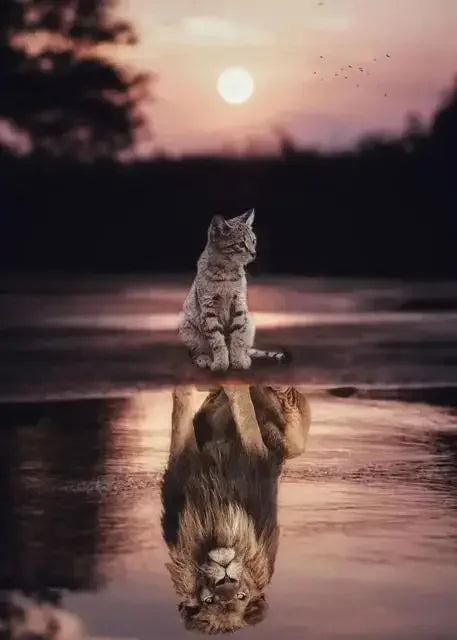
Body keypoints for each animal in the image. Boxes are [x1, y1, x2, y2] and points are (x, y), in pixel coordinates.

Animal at [161, 383, 311, 634]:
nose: (226, 578)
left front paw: (235, 387)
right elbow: (182, 411)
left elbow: (243, 409)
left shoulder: (256, 455)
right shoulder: (180, 466)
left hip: (293, 444)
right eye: (209, 600)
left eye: (241, 596)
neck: (217, 527)